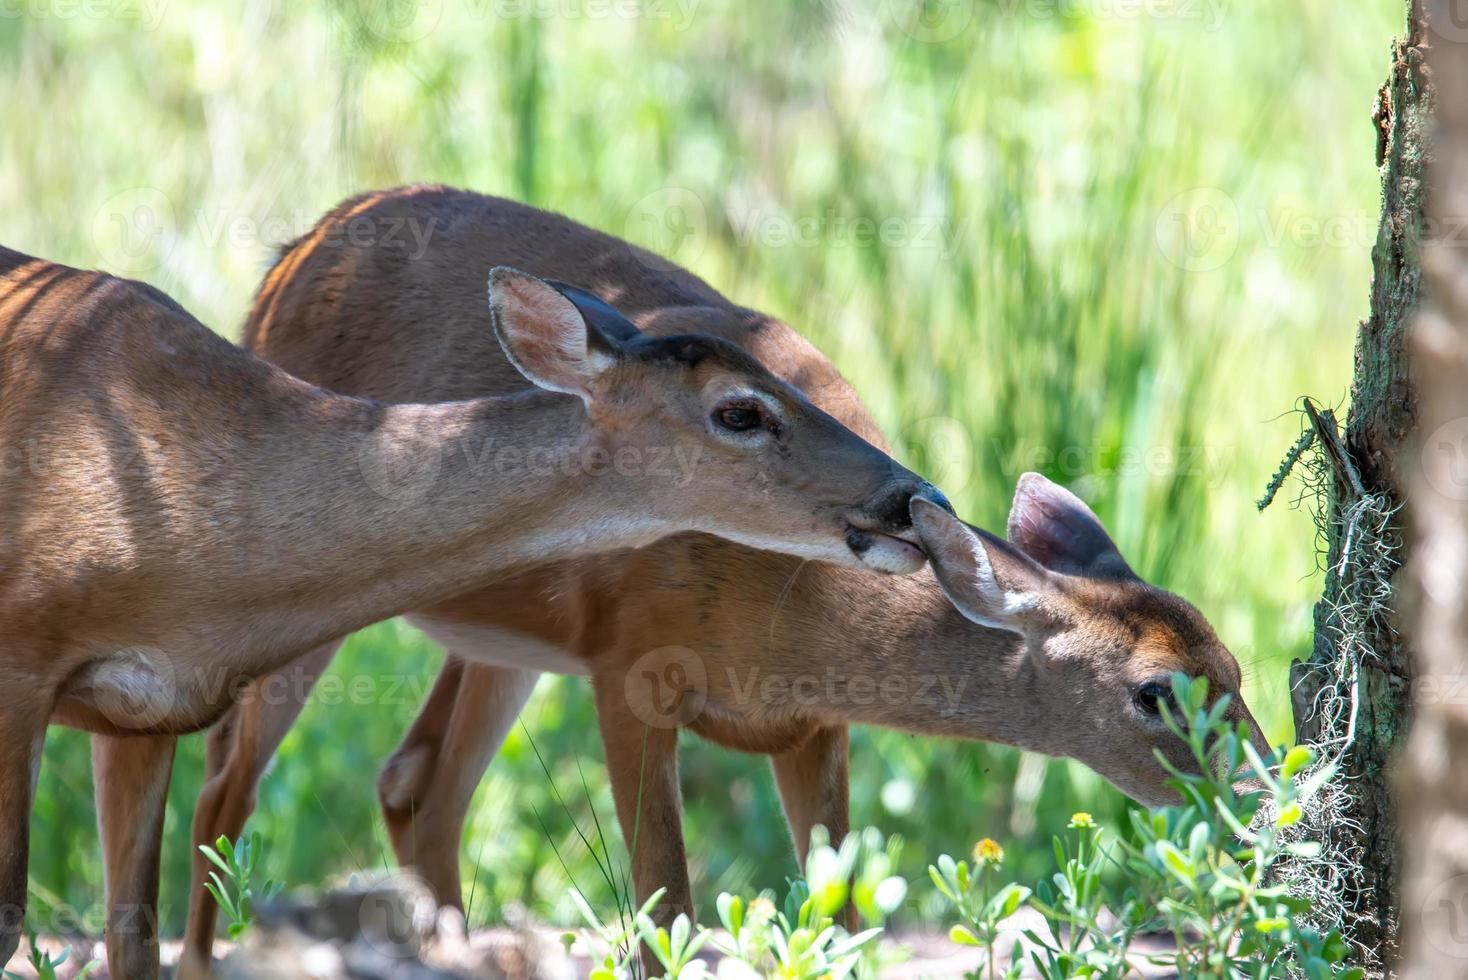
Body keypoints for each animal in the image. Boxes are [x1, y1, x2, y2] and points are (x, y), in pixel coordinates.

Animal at [177, 183, 1268, 974]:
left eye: (1236, 665)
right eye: (1155, 691)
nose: (1267, 797)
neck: (790, 618)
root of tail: (290, 255)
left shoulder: (816, 724)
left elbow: (839, 920)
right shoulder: (628, 667)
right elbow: (668, 907)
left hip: (499, 638)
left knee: (415, 783)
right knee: (225, 791)